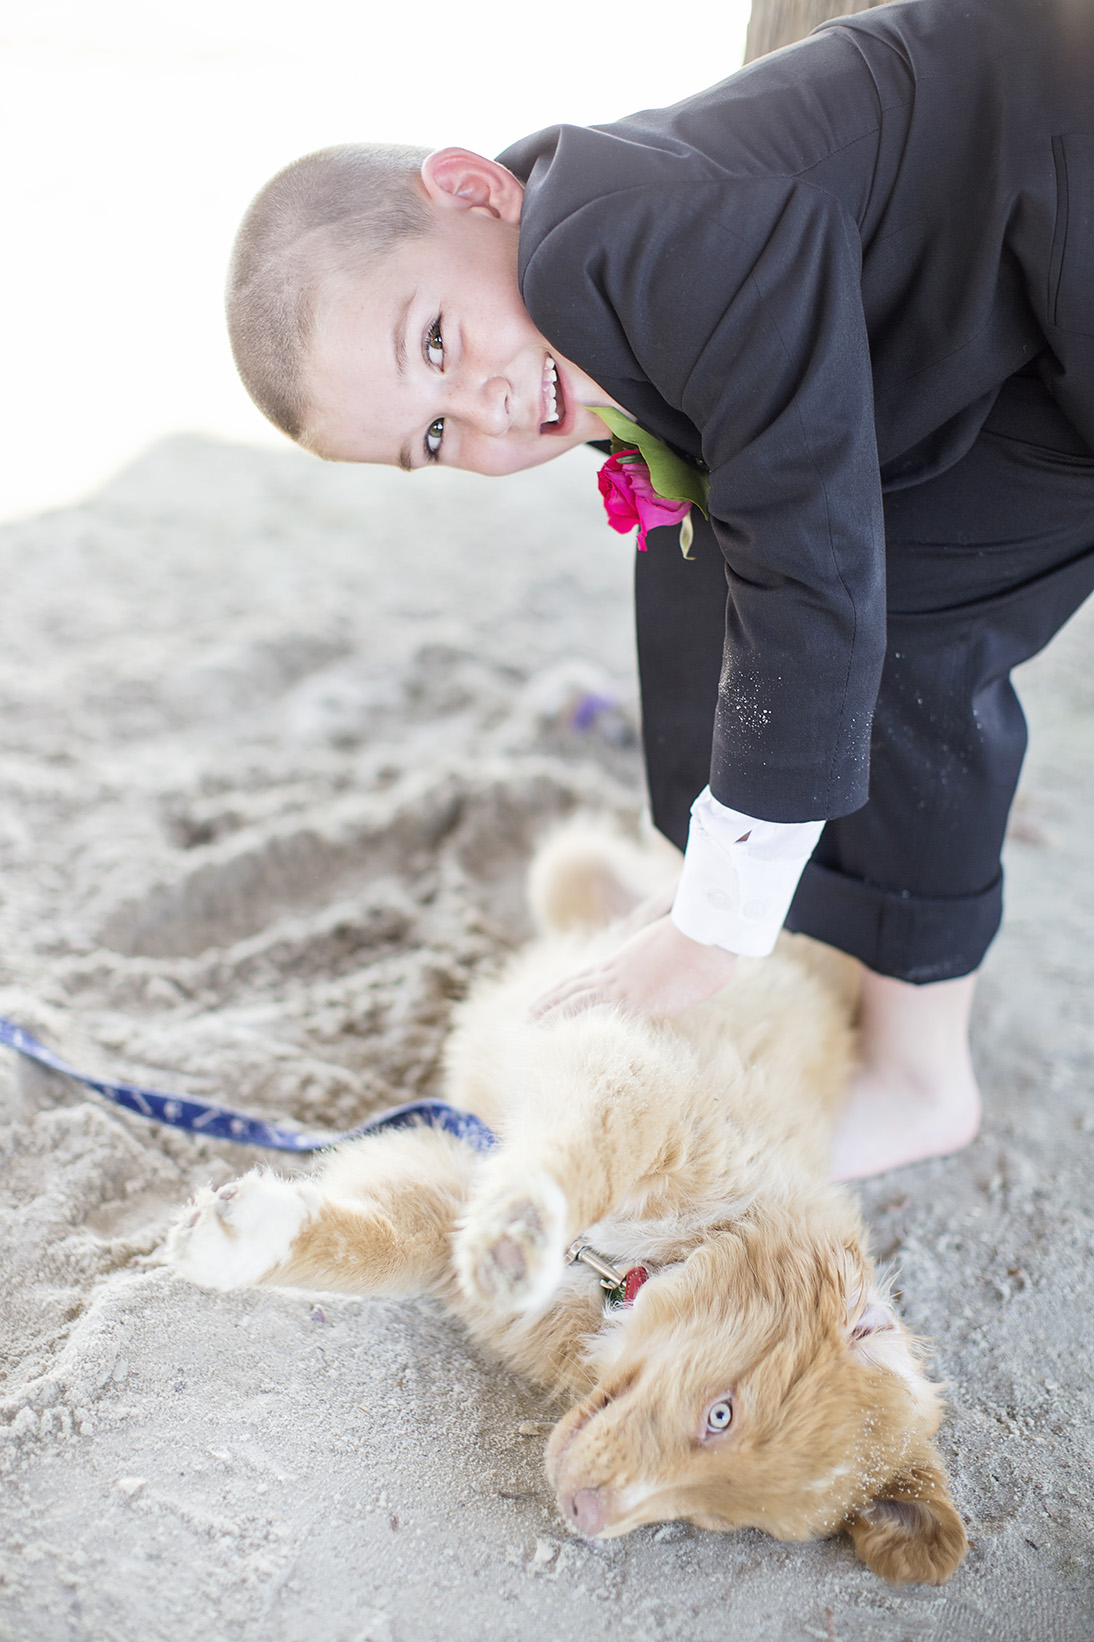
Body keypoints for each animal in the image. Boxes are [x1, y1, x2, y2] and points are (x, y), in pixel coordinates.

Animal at [161, 827, 965, 1582]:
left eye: (718, 1518)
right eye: (722, 1413)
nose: (584, 1514)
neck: (633, 1269)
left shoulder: (459, 1176)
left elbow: (380, 1242)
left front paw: (238, 1234)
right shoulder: (628, 1072)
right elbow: (584, 1157)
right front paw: (518, 1239)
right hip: (575, 877)